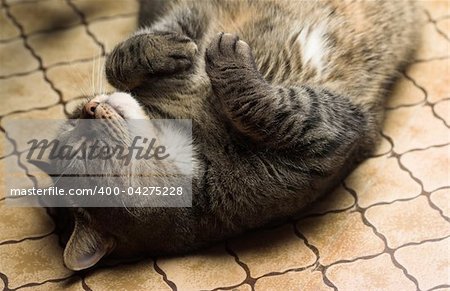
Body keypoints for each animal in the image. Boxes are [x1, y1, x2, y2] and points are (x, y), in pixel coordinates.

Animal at [34, 0, 418, 272]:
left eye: (72, 119)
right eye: (83, 152)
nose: (90, 108)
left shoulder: (185, 17)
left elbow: (122, 58)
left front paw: (167, 48)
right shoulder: (322, 137)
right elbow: (275, 107)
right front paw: (226, 60)